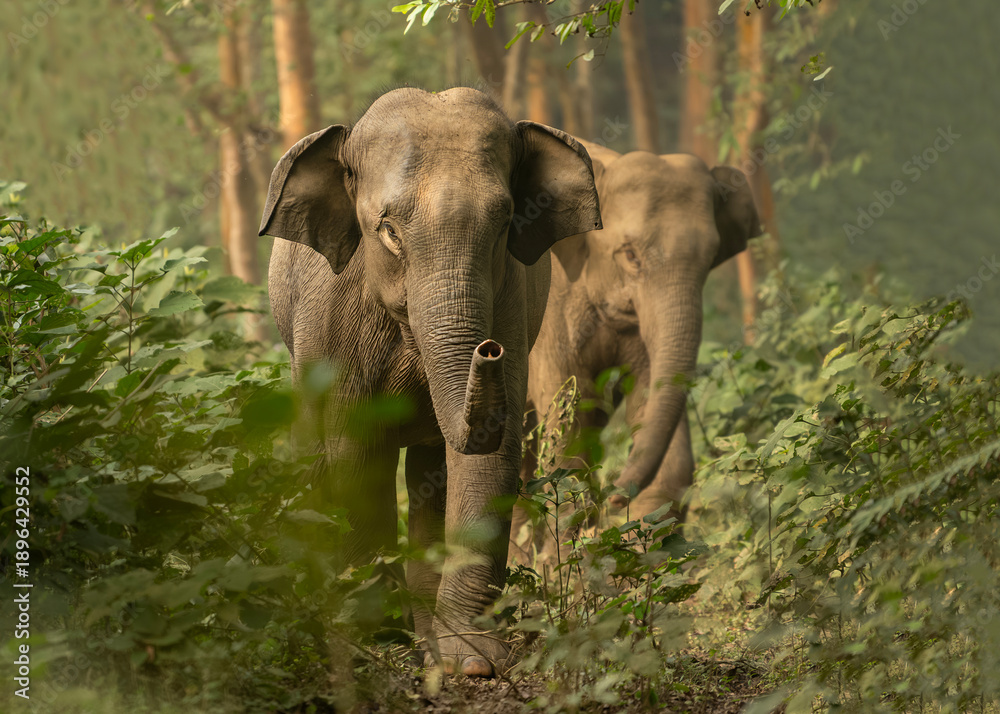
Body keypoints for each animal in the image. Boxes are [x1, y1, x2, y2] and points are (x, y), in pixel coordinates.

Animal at [260, 87, 601, 677]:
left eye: (506, 221)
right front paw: (379, 642)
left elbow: (491, 457)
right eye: (389, 231)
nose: (488, 349)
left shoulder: (510, 300)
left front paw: (470, 661)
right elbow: (356, 451)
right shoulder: (333, 321)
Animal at [510, 140, 761, 561]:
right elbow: (570, 422)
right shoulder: (547, 311)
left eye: (711, 259)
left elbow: (651, 405)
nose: (615, 496)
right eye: (629, 255)